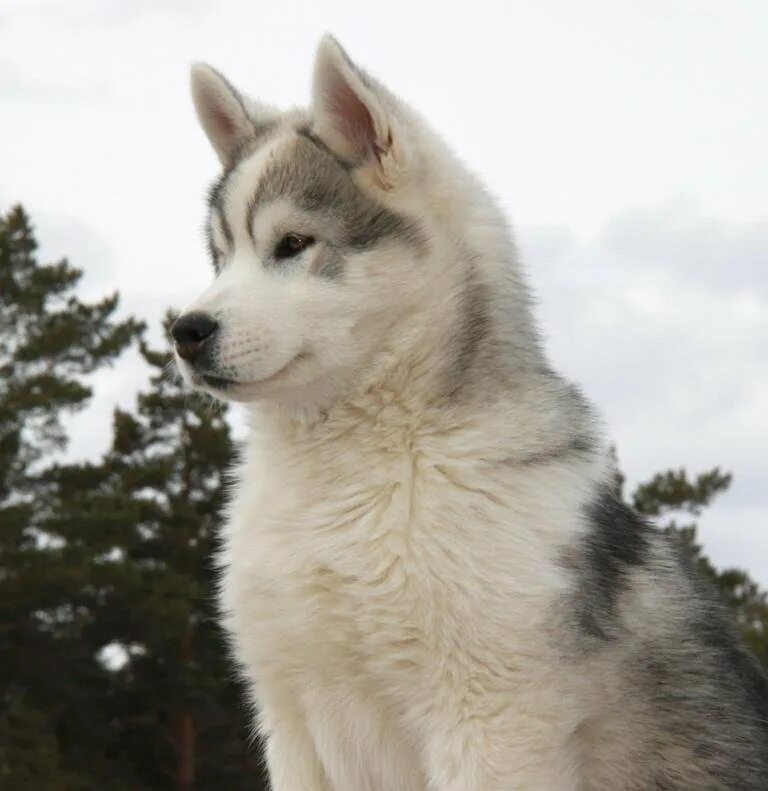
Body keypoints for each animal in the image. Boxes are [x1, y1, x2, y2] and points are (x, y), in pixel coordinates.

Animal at [174, 35, 768, 784]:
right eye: (220, 258)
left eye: (293, 245)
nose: (184, 330)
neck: (348, 474)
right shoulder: (293, 725)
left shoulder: (488, 718)